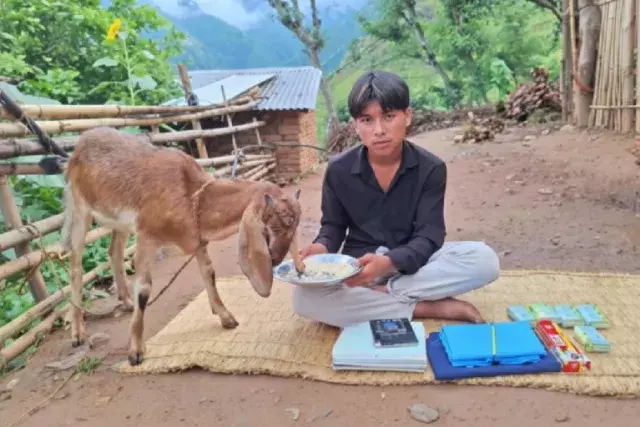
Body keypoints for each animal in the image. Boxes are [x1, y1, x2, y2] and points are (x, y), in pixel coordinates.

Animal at [59, 126, 305, 366]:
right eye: (282, 220)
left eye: (296, 222)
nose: (277, 258)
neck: (192, 196)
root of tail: (80, 143)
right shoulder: (147, 238)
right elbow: (144, 289)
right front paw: (136, 350)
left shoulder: (198, 241)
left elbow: (209, 273)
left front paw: (226, 317)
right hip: (79, 208)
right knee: (75, 264)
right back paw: (77, 332)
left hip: (119, 222)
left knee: (114, 252)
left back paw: (126, 301)